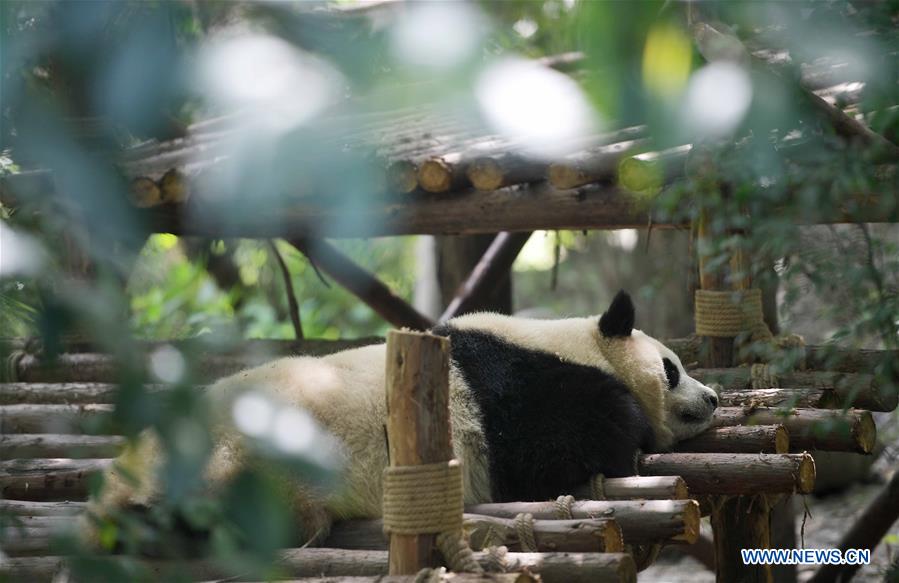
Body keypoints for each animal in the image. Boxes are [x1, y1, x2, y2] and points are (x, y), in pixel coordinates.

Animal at [90, 290, 718, 545]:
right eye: (672, 369)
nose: (712, 398)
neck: (570, 342)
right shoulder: (519, 395)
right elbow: (566, 448)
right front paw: (634, 430)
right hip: (239, 461)